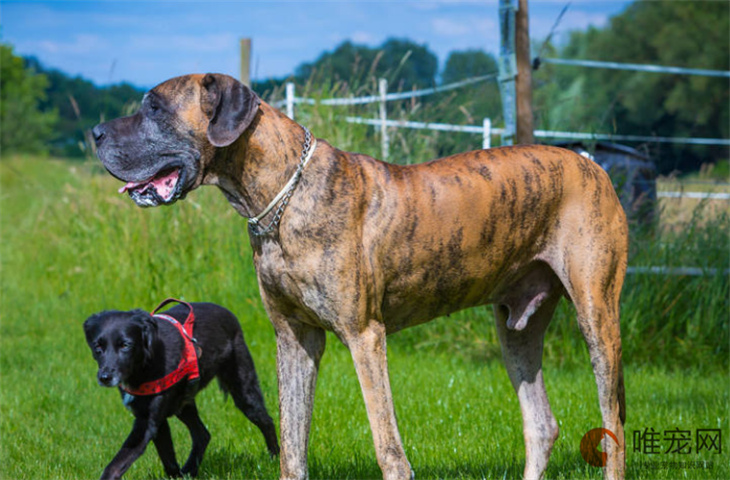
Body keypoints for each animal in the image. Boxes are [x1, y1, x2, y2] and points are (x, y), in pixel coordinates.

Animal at [82, 298, 278, 478]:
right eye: (98, 346)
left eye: (125, 345)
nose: (105, 377)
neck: (145, 365)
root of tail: (226, 311)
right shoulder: (156, 421)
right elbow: (168, 459)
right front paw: (177, 476)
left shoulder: (147, 423)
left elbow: (115, 465)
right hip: (183, 402)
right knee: (202, 435)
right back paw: (190, 470)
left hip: (243, 390)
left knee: (267, 421)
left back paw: (274, 458)